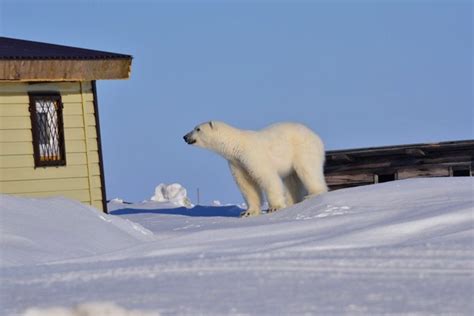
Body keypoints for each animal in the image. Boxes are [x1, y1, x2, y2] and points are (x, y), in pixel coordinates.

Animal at [183, 121, 328, 217]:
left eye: (198, 129)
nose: (185, 137)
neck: (237, 145)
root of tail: (316, 136)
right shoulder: (237, 163)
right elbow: (247, 185)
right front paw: (248, 212)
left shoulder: (253, 155)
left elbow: (267, 177)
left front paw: (274, 208)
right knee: (292, 180)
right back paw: (292, 202)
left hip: (303, 149)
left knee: (308, 170)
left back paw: (313, 194)